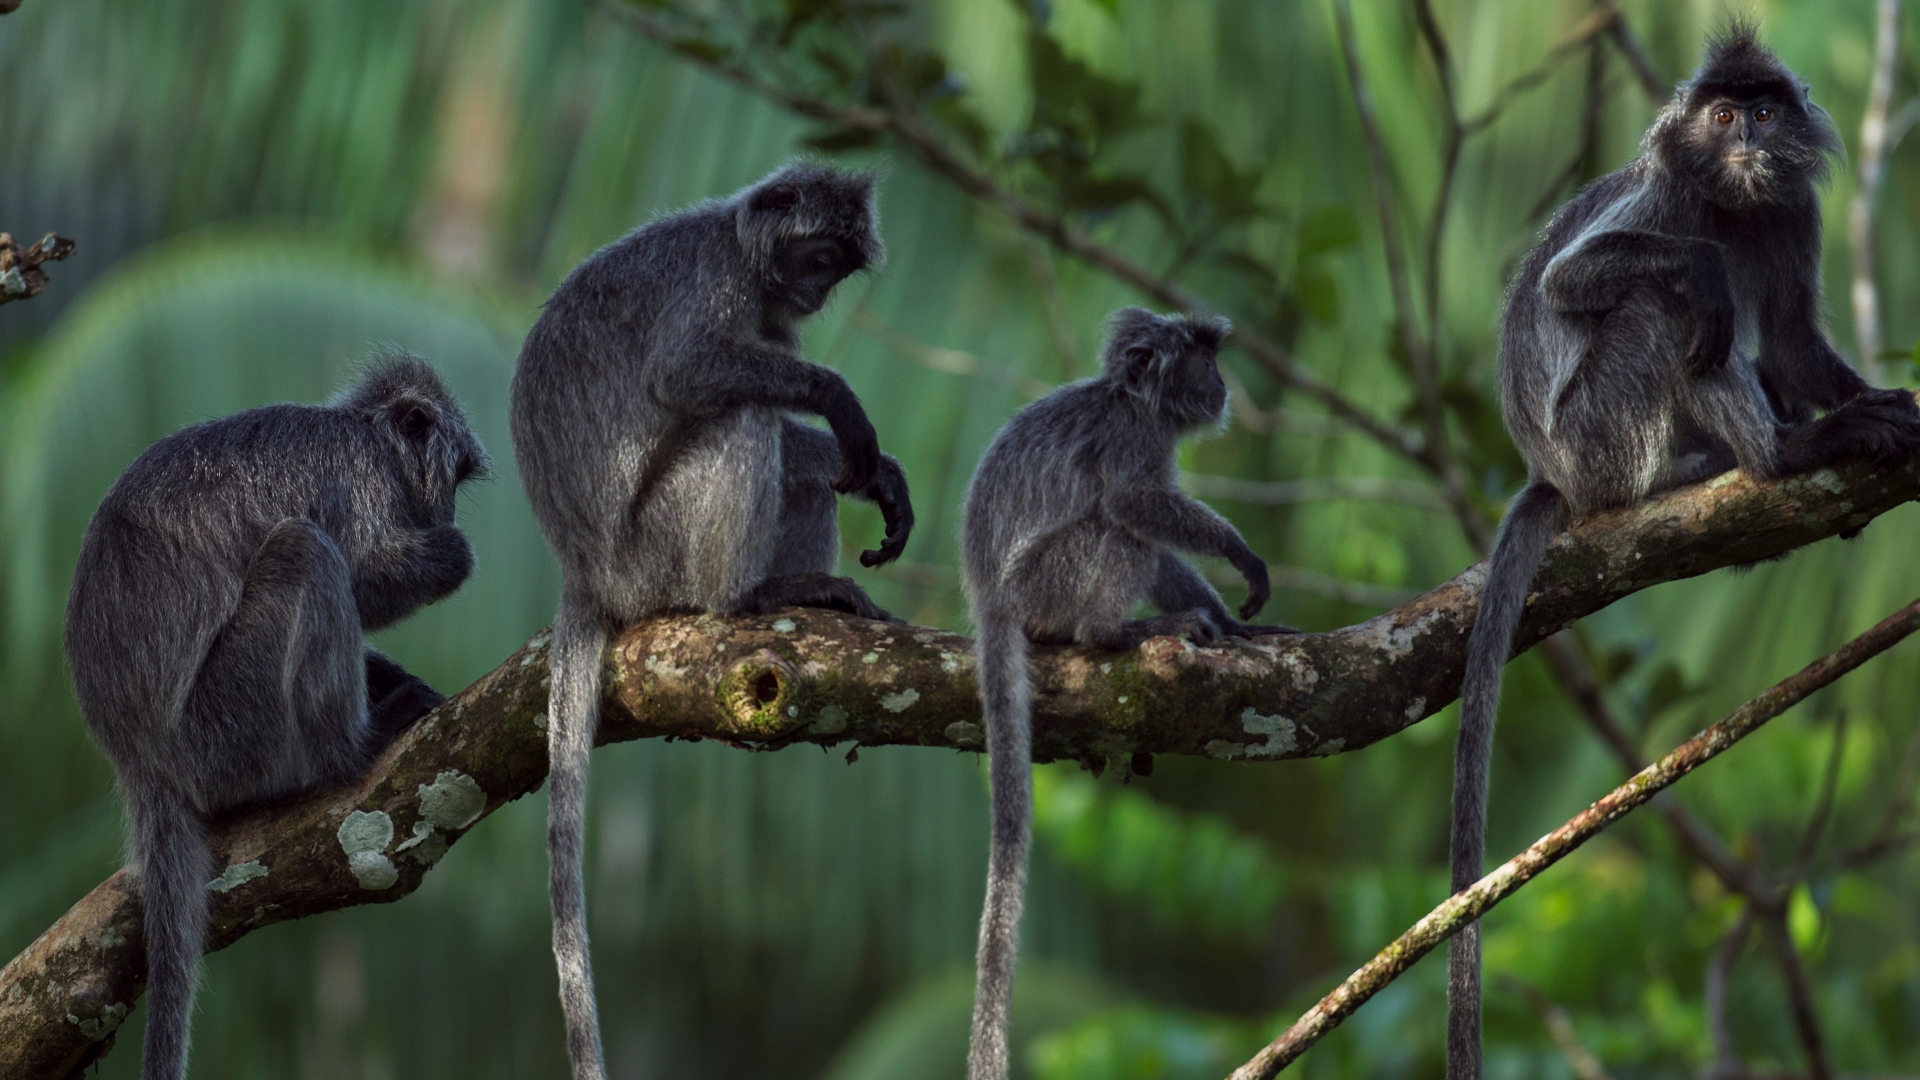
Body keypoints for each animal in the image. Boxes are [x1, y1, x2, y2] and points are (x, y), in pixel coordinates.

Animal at [64, 355, 491, 1076]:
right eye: (455, 477)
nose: (451, 509)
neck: (363, 432)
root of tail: (140, 760)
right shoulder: (358, 475)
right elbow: (366, 575)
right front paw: (450, 554)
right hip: (228, 730)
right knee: (304, 549)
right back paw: (352, 750)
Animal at [503, 159, 906, 1076]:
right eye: (819, 256)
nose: (816, 293)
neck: (743, 252)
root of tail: (588, 574)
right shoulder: (714, 281)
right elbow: (686, 373)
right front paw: (840, 400)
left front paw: (878, 474)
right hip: (657, 551)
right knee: (740, 415)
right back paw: (744, 599)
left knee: (789, 456)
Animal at [960, 303, 1290, 1076]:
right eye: (1205, 359)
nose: (1223, 384)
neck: (1132, 400)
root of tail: (990, 596)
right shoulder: (1133, 440)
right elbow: (1135, 502)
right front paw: (1241, 557)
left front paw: (1232, 619)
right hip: (1048, 582)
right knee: (1115, 526)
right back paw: (1113, 632)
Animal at [1443, 27, 1920, 1076]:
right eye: (1725, 114)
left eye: (1767, 114)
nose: (1746, 138)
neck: (1732, 203)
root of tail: (1554, 475)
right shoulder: (1662, 202)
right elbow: (1582, 282)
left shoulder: (1793, 212)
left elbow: (1792, 344)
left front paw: (1874, 400)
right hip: (1602, 437)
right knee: (1664, 309)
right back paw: (1777, 454)